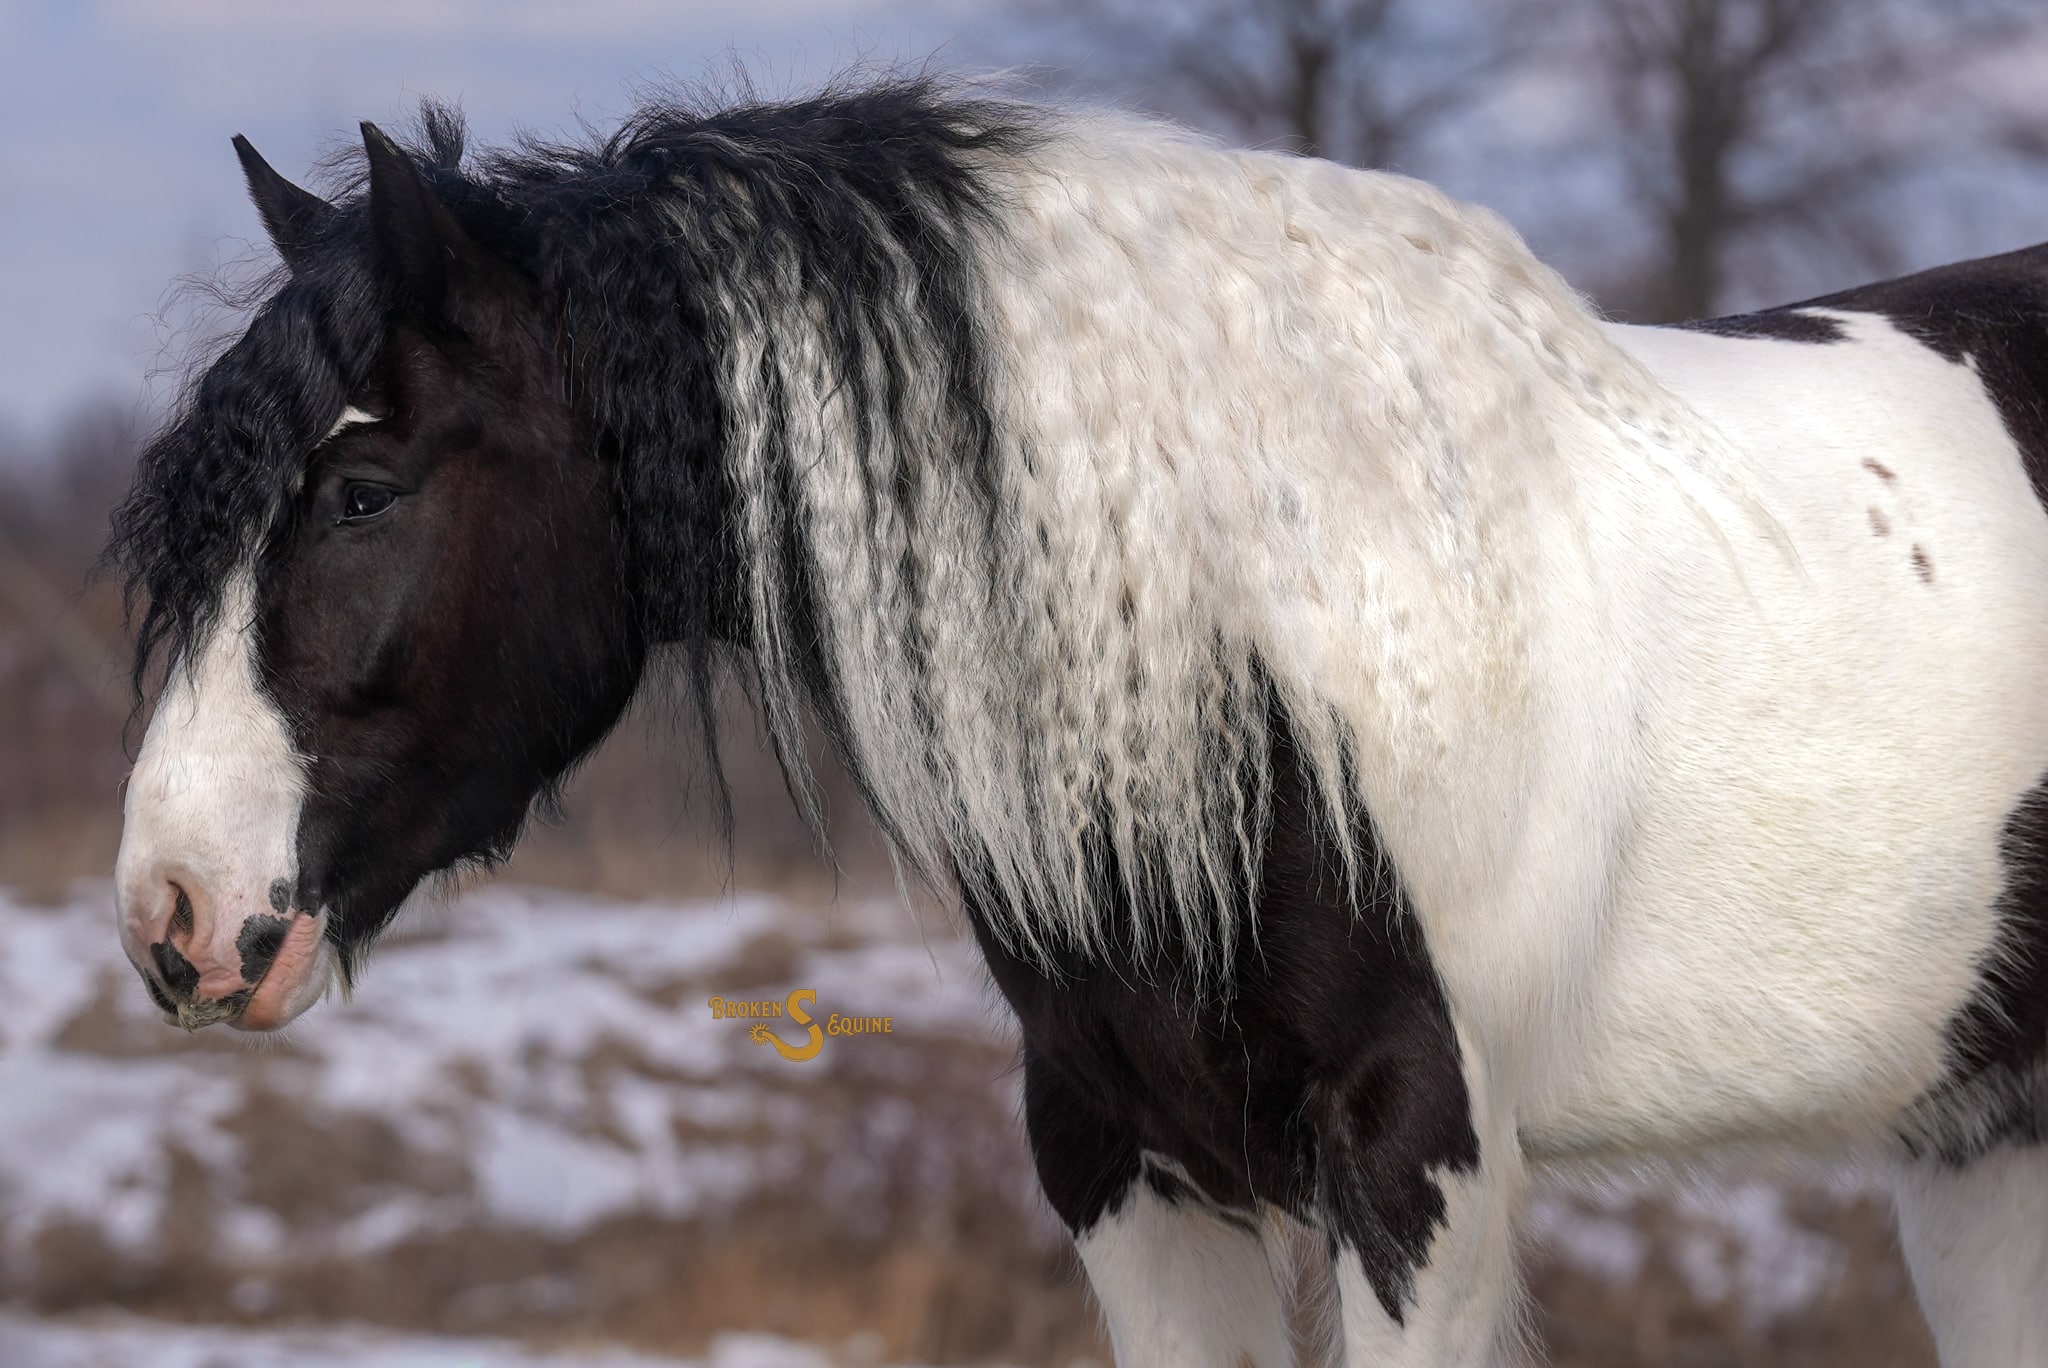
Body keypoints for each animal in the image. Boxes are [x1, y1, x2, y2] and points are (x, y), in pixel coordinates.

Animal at [102, 79, 2048, 1366]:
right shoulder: (1126, 1166)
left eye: (360, 491)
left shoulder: (1415, 1161)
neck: (1262, 646)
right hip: (1977, 1142)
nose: (171, 912)